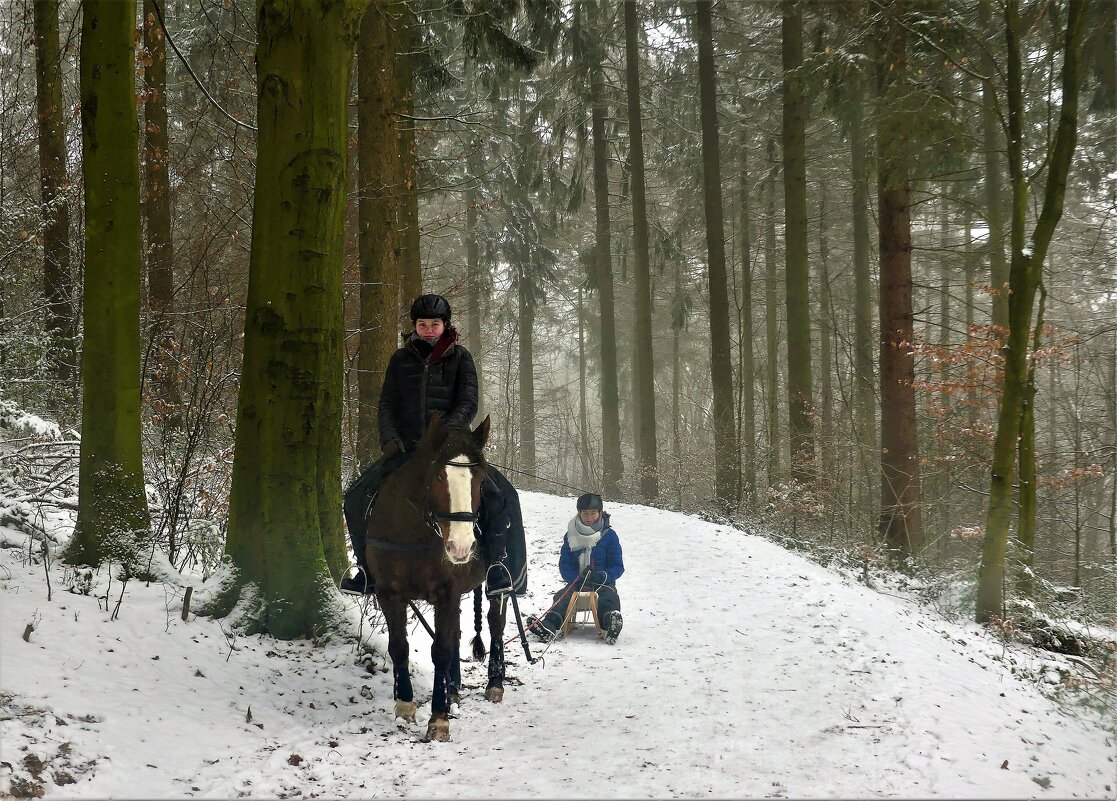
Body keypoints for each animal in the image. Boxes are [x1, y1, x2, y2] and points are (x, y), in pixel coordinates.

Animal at [364, 413, 509, 741]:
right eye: (439, 477)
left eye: (480, 478)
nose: (461, 546)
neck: (413, 532)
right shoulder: (390, 593)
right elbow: (399, 647)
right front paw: (404, 705)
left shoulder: (446, 592)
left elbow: (440, 649)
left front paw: (439, 718)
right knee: (456, 633)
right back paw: (452, 688)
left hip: (499, 586)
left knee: (495, 623)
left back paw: (494, 683)